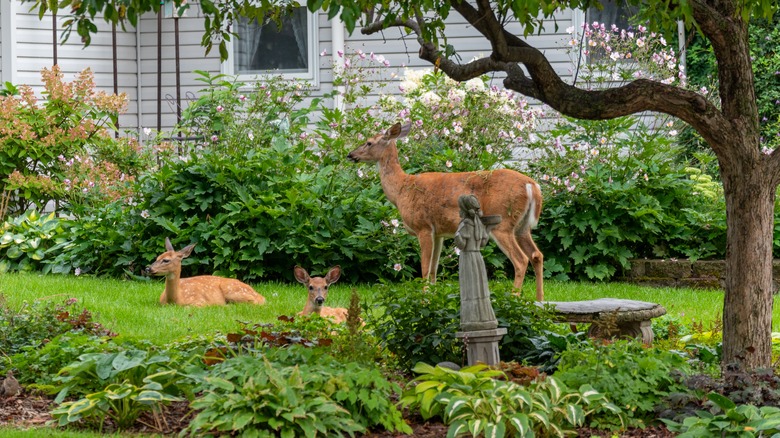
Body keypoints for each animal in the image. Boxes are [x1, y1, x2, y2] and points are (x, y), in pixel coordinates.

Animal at [348, 122, 544, 302]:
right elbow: (433, 269)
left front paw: (424, 299)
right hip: (522, 226)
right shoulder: (438, 233)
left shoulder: (423, 227)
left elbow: (425, 268)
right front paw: (433, 298)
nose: (350, 155)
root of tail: (532, 186)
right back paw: (539, 300)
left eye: (369, 142)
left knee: (521, 260)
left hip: (502, 222)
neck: (401, 190)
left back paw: (514, 298)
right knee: (536, 255)